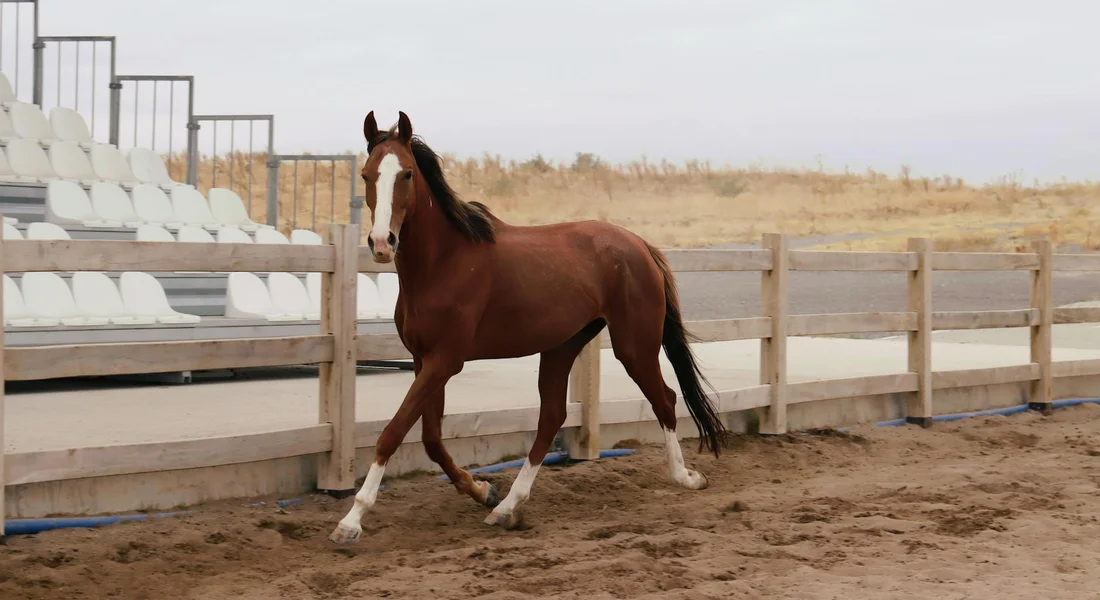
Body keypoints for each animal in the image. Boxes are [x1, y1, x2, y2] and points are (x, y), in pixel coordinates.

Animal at [329, 111, 728, 544]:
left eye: (405, 174)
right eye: (367, 175)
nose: (382, 242)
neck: (443, 264)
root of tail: (639, 244)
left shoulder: (445, 361)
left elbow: (394, 431)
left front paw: (351, 521)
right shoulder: (424, 360)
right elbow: (431, 439)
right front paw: (483, 490)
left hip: (633, 346)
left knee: (665, 400)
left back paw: (686, 477)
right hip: (562, 346)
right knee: (551, 417)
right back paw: (506, 507)